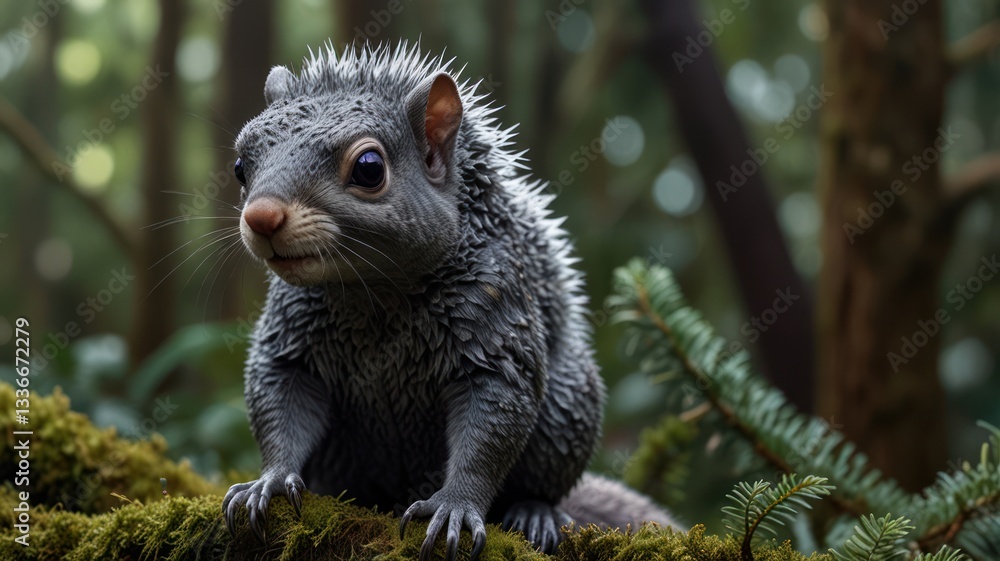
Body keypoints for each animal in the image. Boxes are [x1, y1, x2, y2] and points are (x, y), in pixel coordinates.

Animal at [222, 42, 678, 560]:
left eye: (369, 168)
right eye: (240, 166)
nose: (261, 217)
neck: (375, 294)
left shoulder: (495, 314)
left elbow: (489, 428)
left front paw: (454, 508)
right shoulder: (291, 330)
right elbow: (280, 399)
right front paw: (271, 481)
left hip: (568, 405)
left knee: (541, 482)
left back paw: (535, 513)